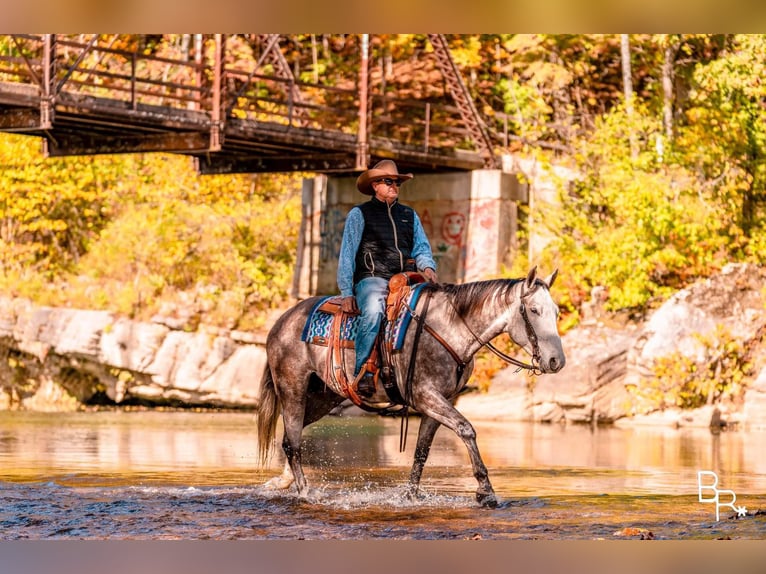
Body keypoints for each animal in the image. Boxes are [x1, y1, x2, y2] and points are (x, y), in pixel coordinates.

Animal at [256, 268, 564, 506]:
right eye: (534, 310)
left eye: (557, 312)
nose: (556, 361)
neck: (450, 327)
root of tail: (281, 321)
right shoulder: (425, 396)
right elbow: (466, 429)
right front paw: (485, 492)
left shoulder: (438, 403)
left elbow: (422, 450)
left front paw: (411, 495)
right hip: (293, 390)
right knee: (294, 442)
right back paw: (305, 493)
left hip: (323, 397)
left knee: (290, 438)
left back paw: (282, 482)